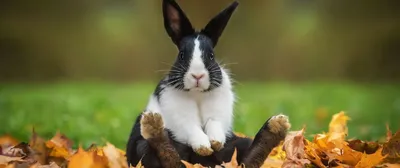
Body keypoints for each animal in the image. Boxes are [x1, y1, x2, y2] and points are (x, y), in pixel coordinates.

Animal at [125, 0, 290, 167]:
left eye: (211, 55)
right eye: (182, 55)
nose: (198, 75)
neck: (197, 93)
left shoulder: (218, 112)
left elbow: (214, 123)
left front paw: (215, 142)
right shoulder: (180, 115)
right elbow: (192, 127)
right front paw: (204, 146)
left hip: (238, 144)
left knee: (247, 159)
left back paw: (275, 127)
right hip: (142, 146)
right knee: (168, 156)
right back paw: (153, 126)